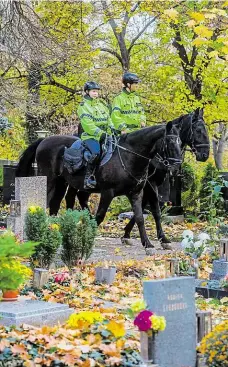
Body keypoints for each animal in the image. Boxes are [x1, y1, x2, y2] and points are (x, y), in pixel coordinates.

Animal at [16, 122, 182, 252]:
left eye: (180, 142)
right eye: (170, 142)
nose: (177, 166)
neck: (129, 156)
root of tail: (44, 140)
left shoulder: (136, 193)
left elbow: (141, 217)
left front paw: (148, 243)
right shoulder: (108, 192)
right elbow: (101, 215)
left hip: (62, 183)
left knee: (57, 204)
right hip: (49, 180)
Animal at [63, 108, 209, 246]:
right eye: (198, 130)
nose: (205, 155)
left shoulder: (144, 186)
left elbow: (145, 209)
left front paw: (129, 234)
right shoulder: (150, 184)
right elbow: (154, 209)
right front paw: (157, 237)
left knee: (78, 197)